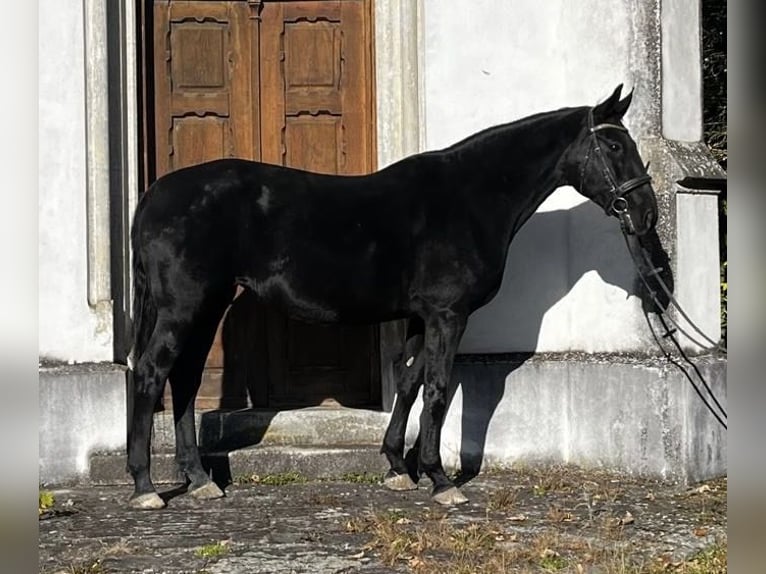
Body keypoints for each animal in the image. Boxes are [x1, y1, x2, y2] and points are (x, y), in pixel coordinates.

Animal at [127, 84, 657, 509]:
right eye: (613, 144)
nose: (646, 212)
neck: (471, 197)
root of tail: (154, 196)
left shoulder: (423, 317)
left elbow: (408, 382)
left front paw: (399, 468)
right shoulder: (448, 315)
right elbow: (438, 389)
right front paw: (441, 480)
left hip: (208, 304)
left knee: (186, 379)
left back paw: (199, 480)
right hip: (184, 307)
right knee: (152, 373)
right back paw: (146, 487)